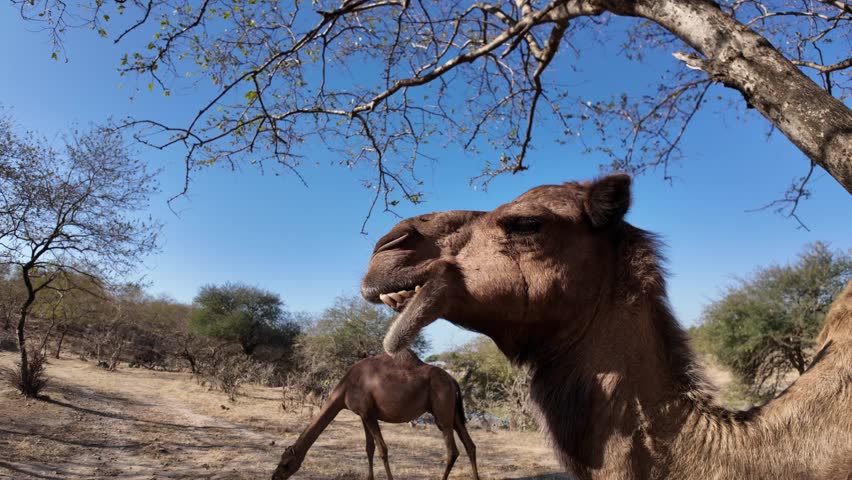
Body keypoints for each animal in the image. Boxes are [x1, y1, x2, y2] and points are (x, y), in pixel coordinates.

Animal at [272, 349, 479, 480]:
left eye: (286, 464)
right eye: (280, 461)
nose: (274, 477)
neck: (345, 389)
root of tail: (453, 379)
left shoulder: (369, 414)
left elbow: (382, 449)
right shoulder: (363, 415)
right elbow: (369, 448)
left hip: (442, 413)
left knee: (452, 450)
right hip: (453, 414)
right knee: (470, 445)